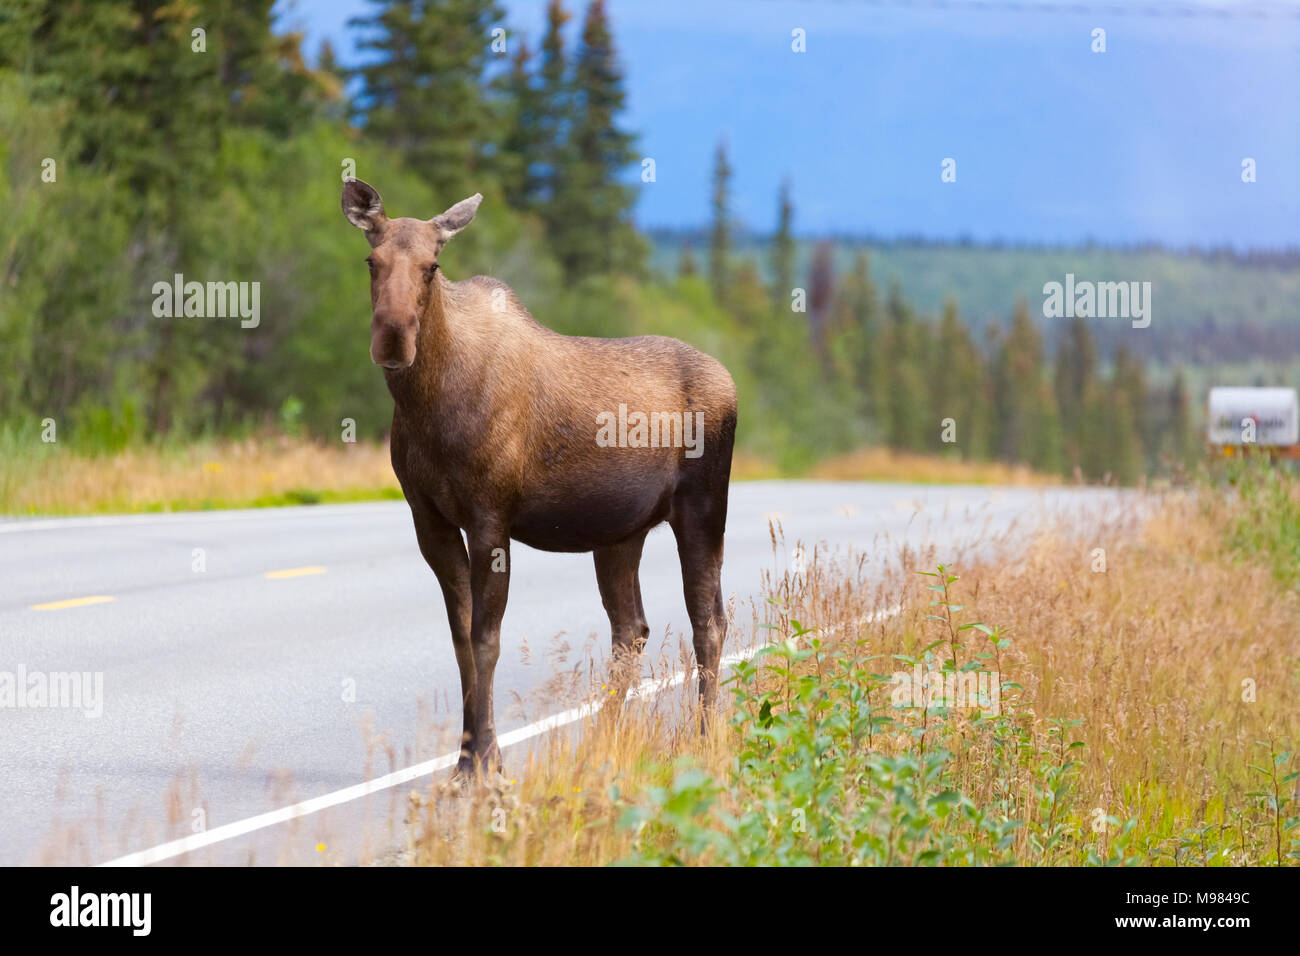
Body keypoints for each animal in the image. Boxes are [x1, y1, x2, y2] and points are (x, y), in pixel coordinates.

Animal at [340, 179, 738, 780]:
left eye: (433, 266)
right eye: (371, 260)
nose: (392, 337)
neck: (427, 407)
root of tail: (731, 384)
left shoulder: (490, 516)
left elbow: (486, 639)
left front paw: (485, 764)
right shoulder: (428, 519)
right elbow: (460, 637)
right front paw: (467, 760)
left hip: (704, 507)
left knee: (708, 620)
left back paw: (706, 740)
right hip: (620, 533)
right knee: (633, 629)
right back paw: (600, 744)